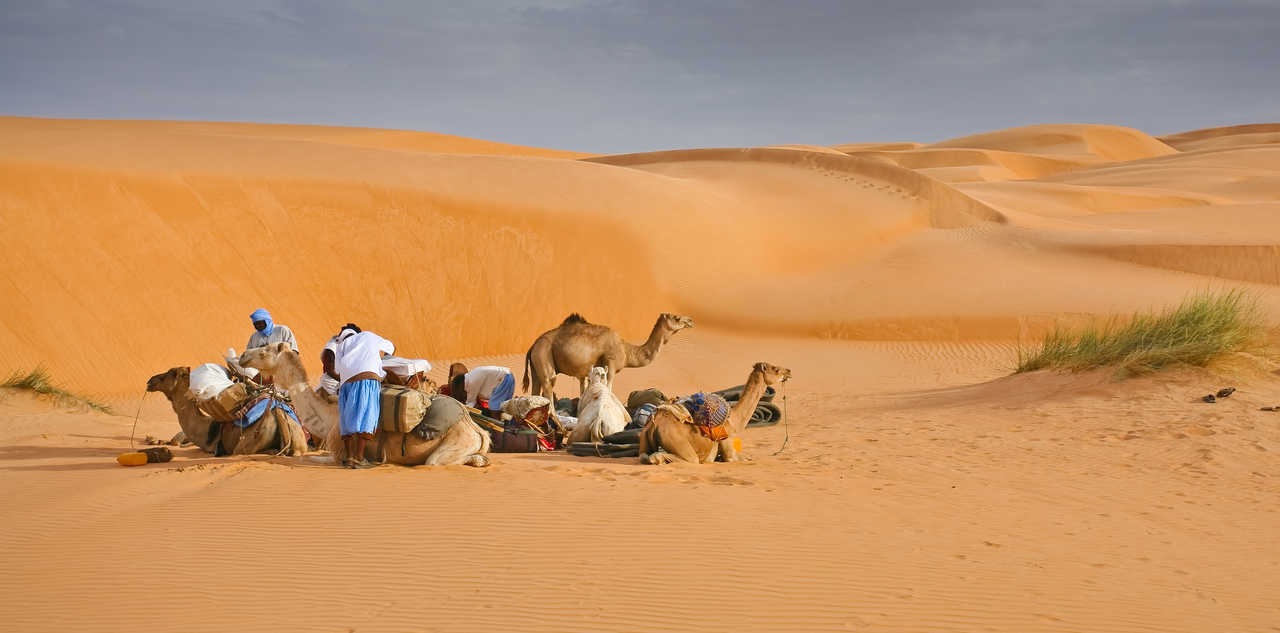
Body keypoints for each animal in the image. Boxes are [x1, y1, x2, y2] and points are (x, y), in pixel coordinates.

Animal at [239, 342, 491, 467]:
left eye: (264, 351)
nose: (243, 356)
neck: (329, 416)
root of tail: (479, 431)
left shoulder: (336, 453)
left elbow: (306, 457)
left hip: (452, 446)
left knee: (436, 461)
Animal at [523, 312, 694, 402]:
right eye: (677, 318)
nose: (690, 321)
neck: (626, 351)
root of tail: (532, 346)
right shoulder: (611, 364)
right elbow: (609, 388)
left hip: (536, 365)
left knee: (536, 390)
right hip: (544, 356)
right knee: (548, 387)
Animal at [638, 362, 791, 465]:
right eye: (776, 369)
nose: (789, 371)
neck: (733, 421)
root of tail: (655, 424)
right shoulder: (728, 447)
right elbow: (735, 458)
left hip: (644, 438)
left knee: (644, 456)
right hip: (676, 440)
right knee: (680, 458)